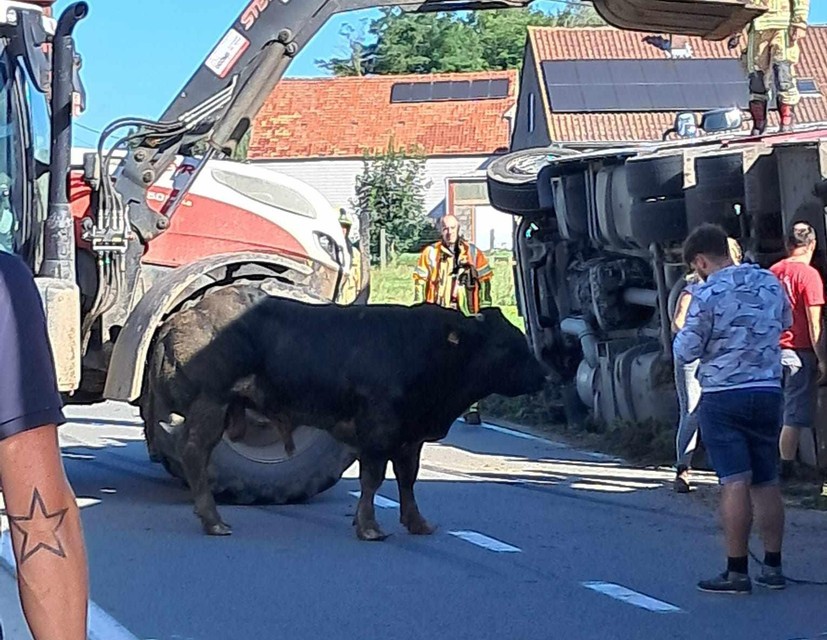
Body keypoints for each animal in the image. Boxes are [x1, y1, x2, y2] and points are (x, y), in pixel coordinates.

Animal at [147, 284, 548, 540]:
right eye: (504, 344)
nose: (543, 374)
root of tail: (185, 315)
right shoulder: (378, 431)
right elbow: (373, 479)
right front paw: (369, 527)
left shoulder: (410, 436)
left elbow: (407, 480)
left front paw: (417, 523)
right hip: (210, 404)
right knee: (194, 454)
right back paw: (214, 521)